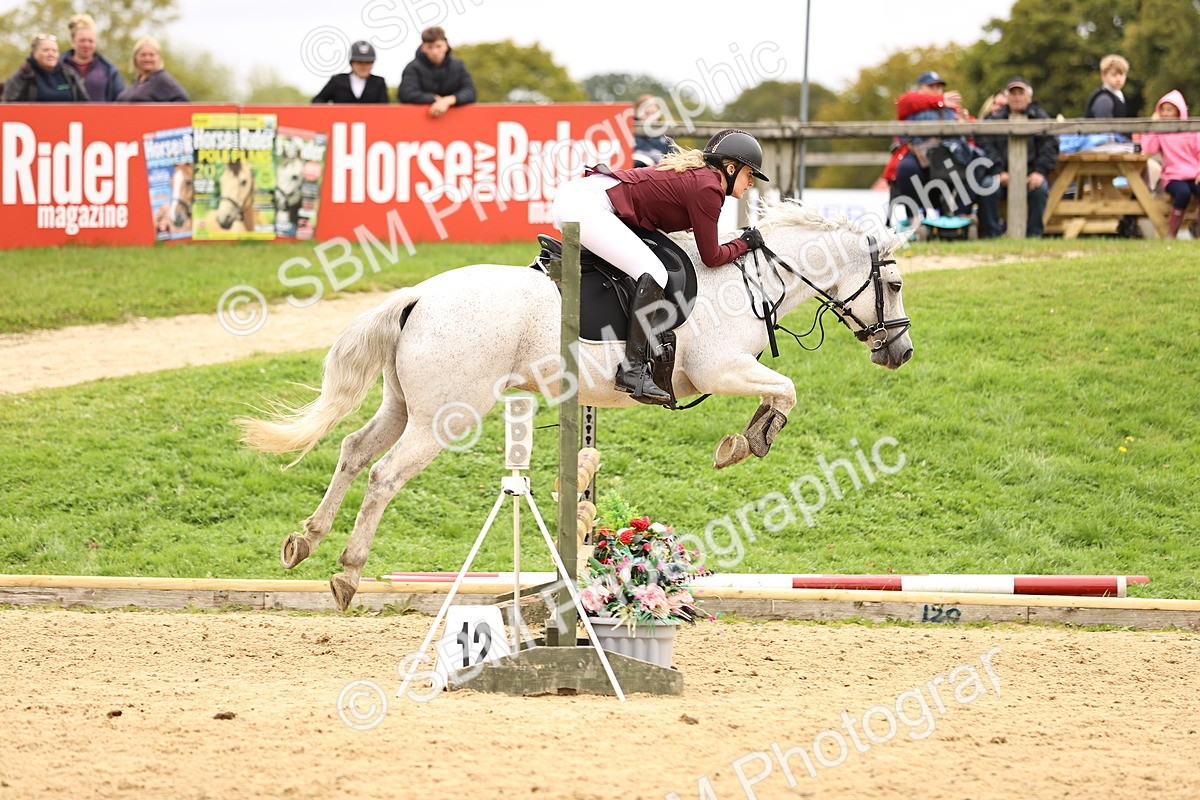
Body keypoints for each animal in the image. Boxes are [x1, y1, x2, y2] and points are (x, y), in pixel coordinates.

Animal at [235, 198, 914, 610]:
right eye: (896, 283)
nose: (901, 351)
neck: (748, 278)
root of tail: (419, 295)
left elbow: (781, 390)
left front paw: (745, 439)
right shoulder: (719, 369)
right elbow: (786, 389)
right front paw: (746, 442)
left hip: (406, 406)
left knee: (353, 451)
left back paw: (305, 540)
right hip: (444, 418)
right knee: (383, 475)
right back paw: (348, 571)